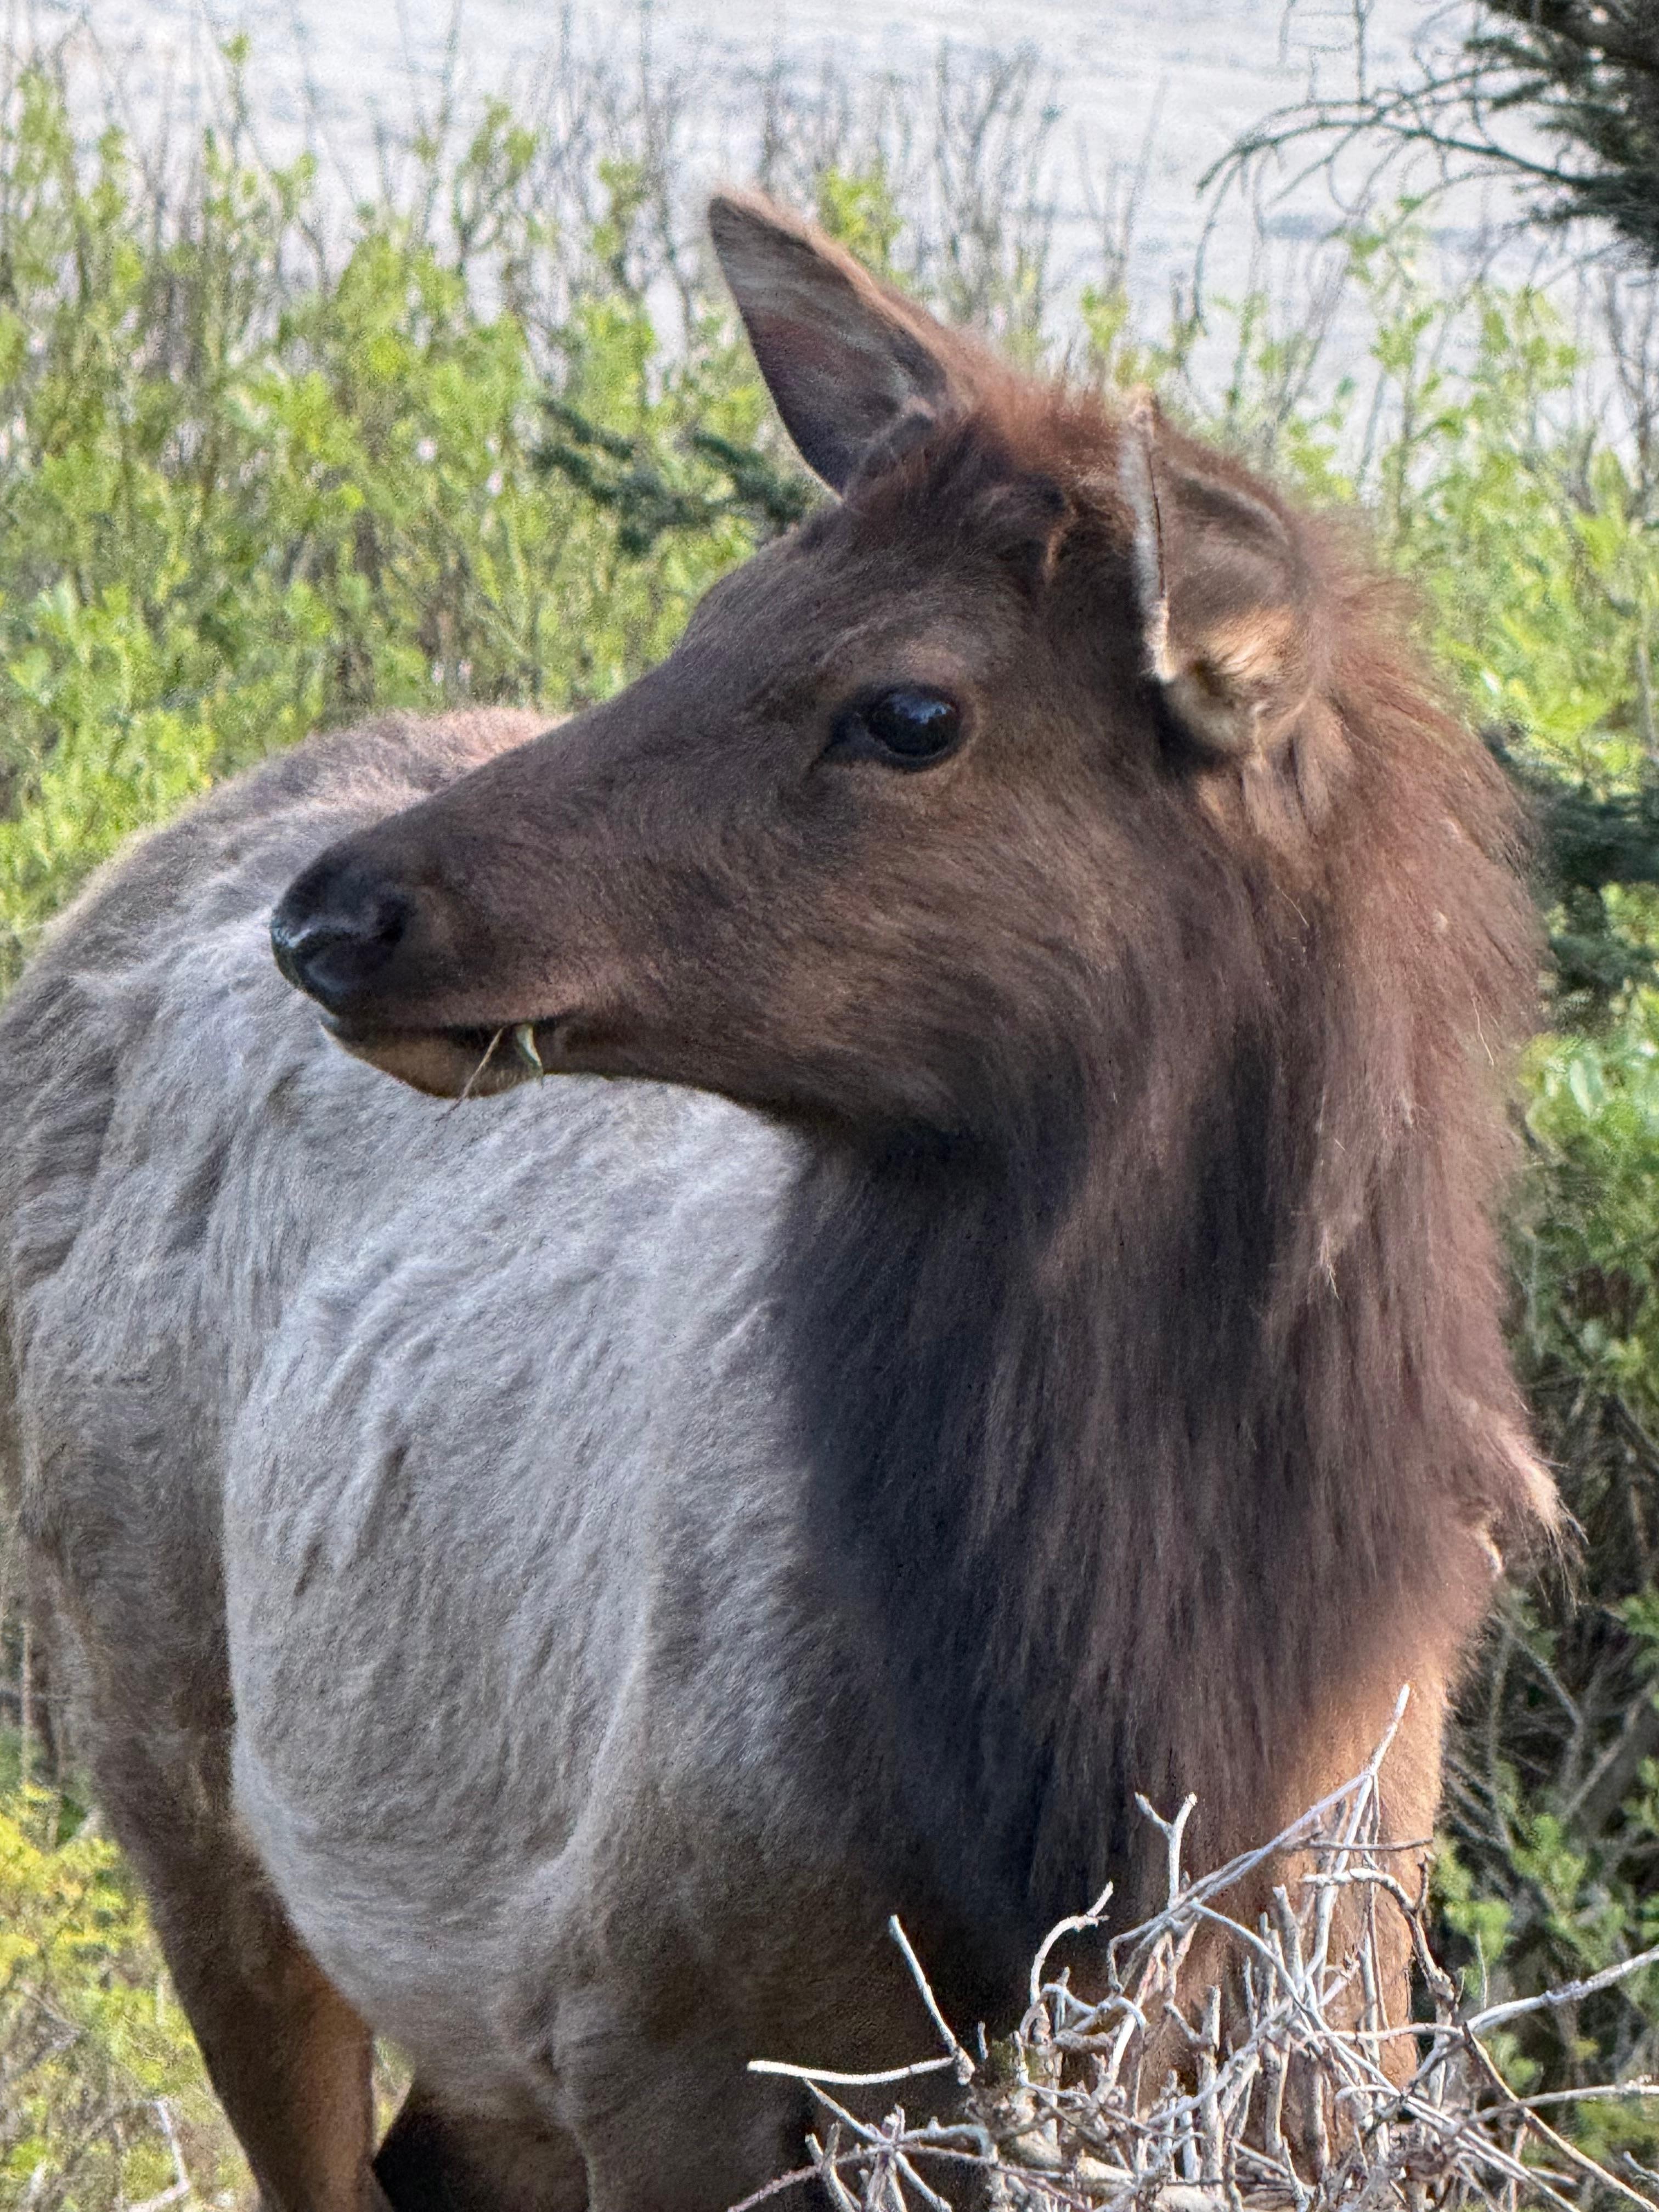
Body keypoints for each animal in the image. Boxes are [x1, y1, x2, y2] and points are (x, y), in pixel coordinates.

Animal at [0, 193, 1555, 2211]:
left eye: (908, 708)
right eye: (712, 612)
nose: (338, 912)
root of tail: (110, 891)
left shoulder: (1329, 2031)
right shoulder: (660, 2021)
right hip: (164, 1748)